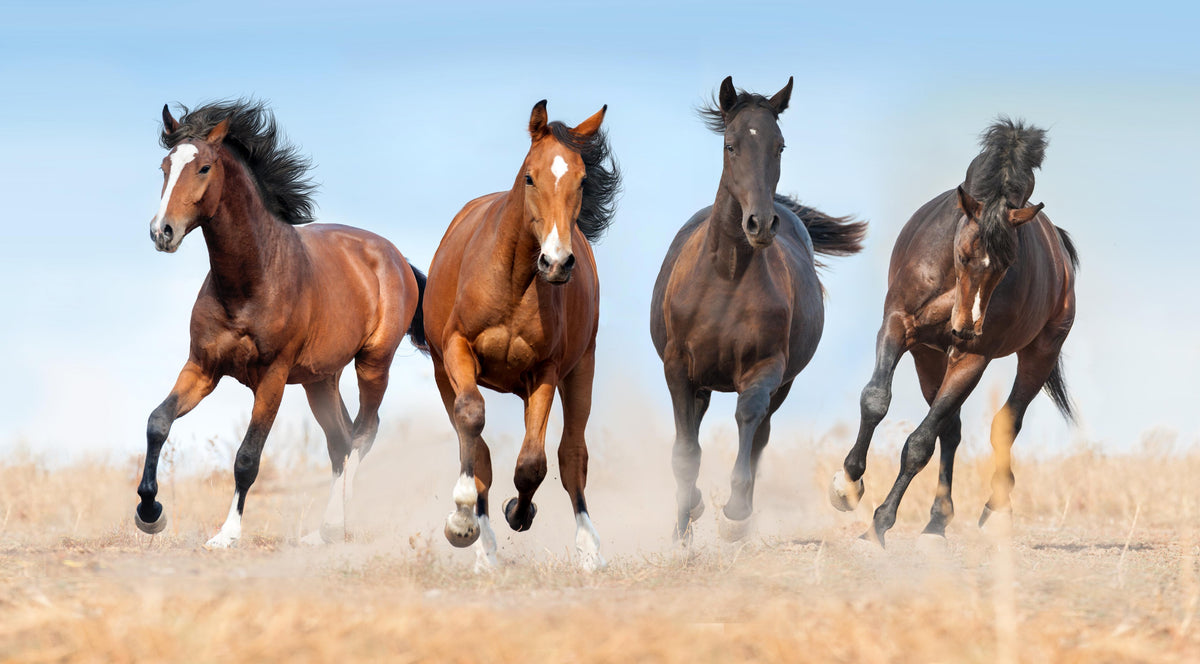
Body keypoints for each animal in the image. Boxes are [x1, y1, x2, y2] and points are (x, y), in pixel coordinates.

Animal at [134, 100, 427, 548]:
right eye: (165, 166)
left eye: (203, 167)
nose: (162, 232)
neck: (251, 281)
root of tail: (396, 257)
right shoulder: (202, 367)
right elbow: (157, 423)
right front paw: (150, 513)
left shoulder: (272, 377)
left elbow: (247, 457)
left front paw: (227, 535)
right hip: (320, 379)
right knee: (340, 440)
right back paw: (322, 532)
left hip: (373, 363)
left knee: (364, 433)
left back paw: (335, 524)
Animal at [423, 100, 620, 571]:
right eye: (531, 176)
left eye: (582, 180)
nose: (557, 262)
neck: (513, 282)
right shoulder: (457, 351)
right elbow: (472, 422)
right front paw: (462, 522)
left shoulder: (545, 371)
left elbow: (534, 462)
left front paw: (519, 510)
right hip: (442, 372)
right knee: (477, 446)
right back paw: (483, 545)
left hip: (580, 370)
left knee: (572, 454)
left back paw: (588, 547)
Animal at [651, 77, 867, 543]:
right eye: (730, 144)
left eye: (779, 146)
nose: (760, 224)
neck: (727, 277)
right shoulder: (678, 367)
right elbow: (685, 450)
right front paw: (683, 526)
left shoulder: (766, 367)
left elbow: (748, 418)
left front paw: (734, 514)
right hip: (701, 381)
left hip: (782, 383)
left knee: (761, 430)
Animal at [828, 117, 1079, 546]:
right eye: (963, 255)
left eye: (1007, 264)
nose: (966, 327)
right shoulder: (898, 326)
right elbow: (876, 400)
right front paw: (847, 486)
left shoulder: (972, 358)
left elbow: (919, 444)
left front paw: (879, 523)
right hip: (929, 357)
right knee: (952, 429)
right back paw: (937, 521)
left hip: (1040, 354)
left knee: (1003, 423)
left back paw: (992, 510)